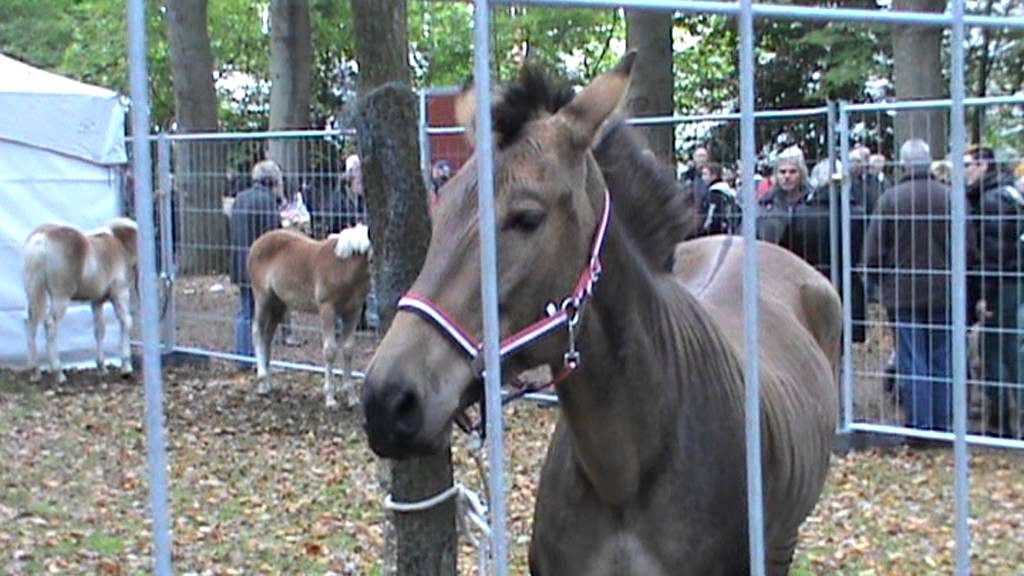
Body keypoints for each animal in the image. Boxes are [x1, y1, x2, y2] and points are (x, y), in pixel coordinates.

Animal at [23, 218, 138, 383]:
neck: (120, 244)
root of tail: (41, 238)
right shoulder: (120, 293)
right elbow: (126, 323)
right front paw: (126, 368)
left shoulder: (96, 301)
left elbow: (99, 330)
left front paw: (102, 368)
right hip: (60, 298)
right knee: (50, 324)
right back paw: (59, 373)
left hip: (33, 294)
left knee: (30, 322)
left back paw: (35, 372)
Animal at [247, 224, 371, 408]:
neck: (344, 265)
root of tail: (257, 242)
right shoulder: (327, 309)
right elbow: (330, 350)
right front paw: (330, 398)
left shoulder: (353, 312)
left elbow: (348, 349)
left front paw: (352, 398)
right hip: (263, 298)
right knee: (257, 331)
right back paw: (262, 377)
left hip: (278, 304)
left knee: (267, 337)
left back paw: (266, 385)